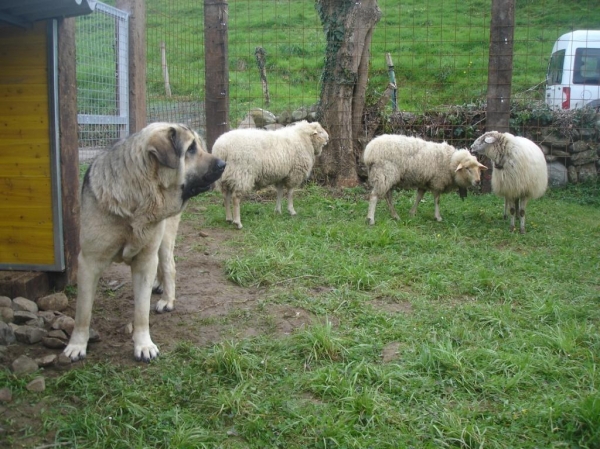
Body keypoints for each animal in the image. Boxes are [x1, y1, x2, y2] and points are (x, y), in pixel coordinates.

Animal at [64, 122, 226, 360]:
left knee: (169, 266)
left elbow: (141, 310)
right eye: (190, 149)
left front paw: (143, 344)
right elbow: (82, 310)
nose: (223, 164)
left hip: (164, 238)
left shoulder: (144, 260)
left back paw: (167, 298)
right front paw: (77, 344)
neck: (138, 197)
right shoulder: (88, 262)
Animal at [360, 133, 488, 224]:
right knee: (374, 196)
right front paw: (438, 217)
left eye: (478, 169)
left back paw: (395, 216)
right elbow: (437, 200)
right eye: (467, 168)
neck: (450, 162)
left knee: (388, 197)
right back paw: (371, 219)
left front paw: (412, 213)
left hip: (388, 177)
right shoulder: (437, 182)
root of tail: (369, 152)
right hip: (384, 173)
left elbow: (419, 197)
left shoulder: (424, 183)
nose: (478, 181)